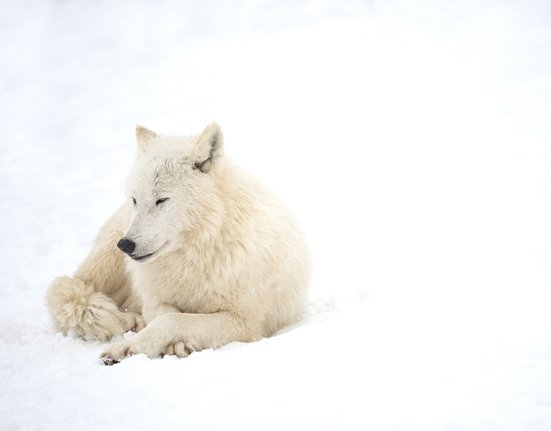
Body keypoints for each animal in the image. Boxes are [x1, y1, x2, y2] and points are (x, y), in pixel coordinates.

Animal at [47, 122, 310, 364]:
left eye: (161, 200)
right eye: (135, 200)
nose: (125, 245)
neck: (200, 250)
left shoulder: (245, 323)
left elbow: (173, 319)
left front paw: (134, 347)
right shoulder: (154, 300)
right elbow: (166, 314)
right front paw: (146, 343)